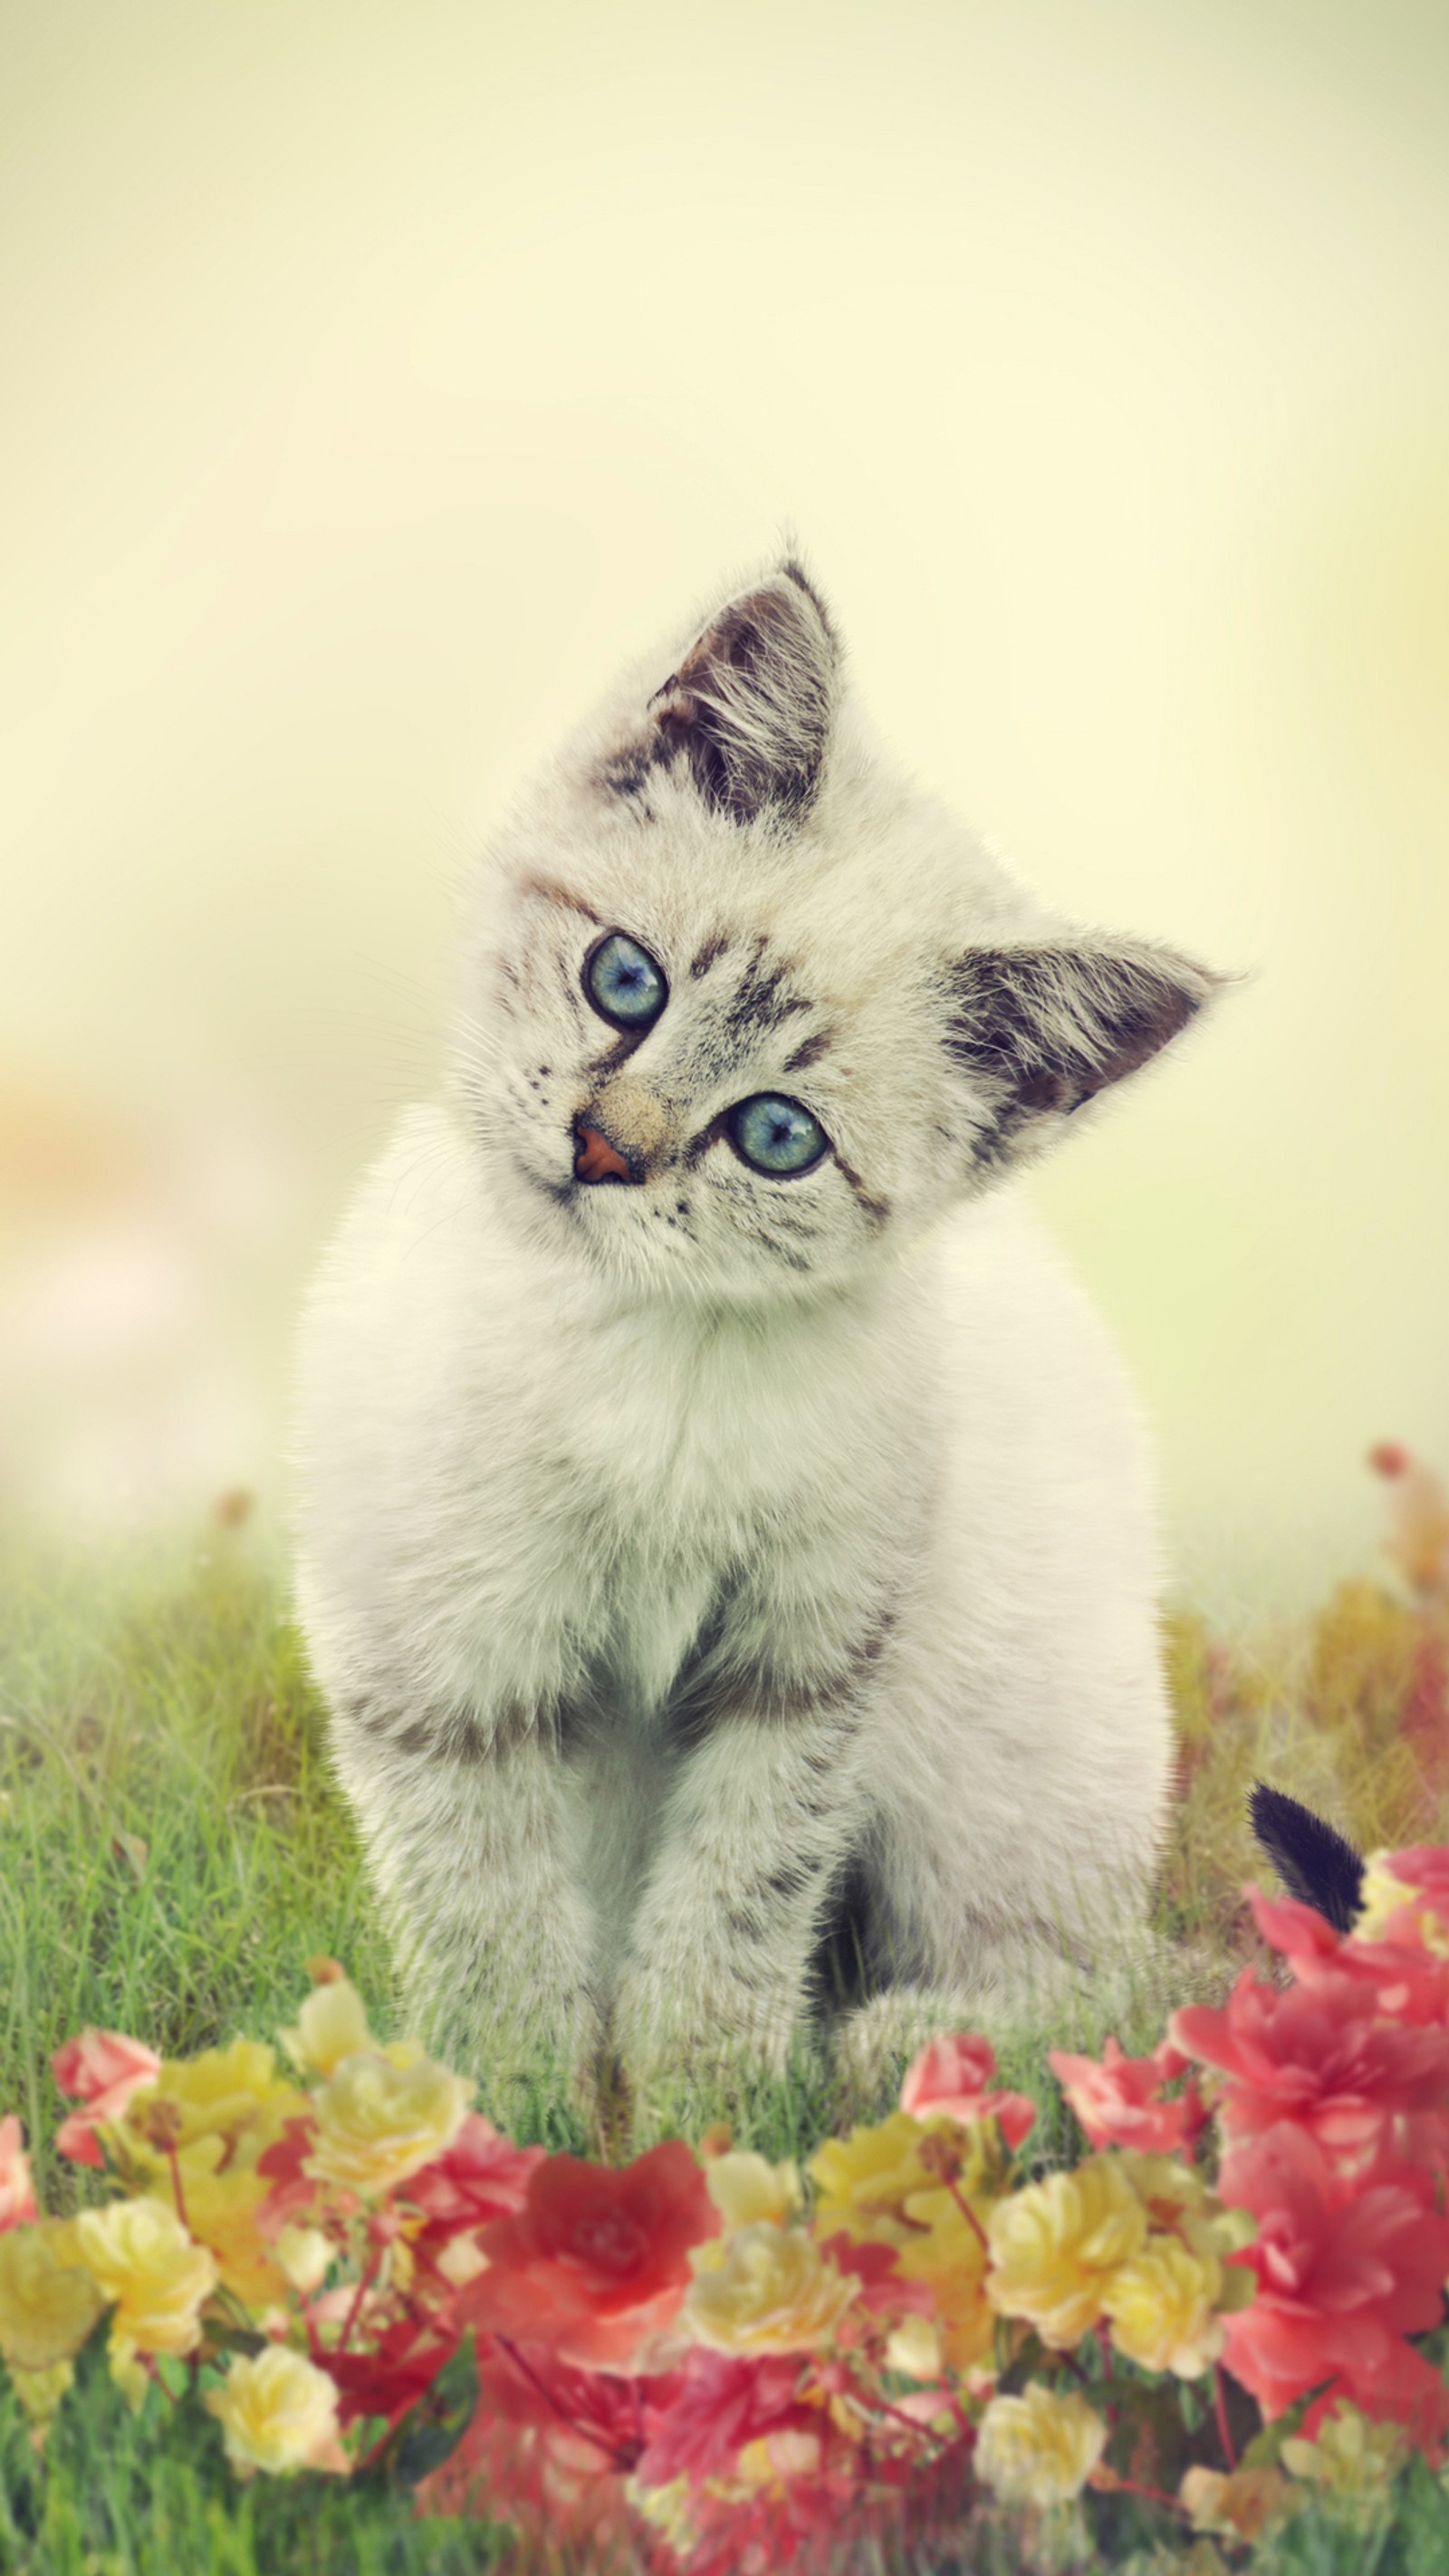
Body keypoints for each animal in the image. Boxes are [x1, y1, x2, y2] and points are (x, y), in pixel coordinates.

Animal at [294, 559, 1224, 2091]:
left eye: (777, 1136)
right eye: (625, 981)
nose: (604, 1148)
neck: (642, 1346)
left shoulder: (815, 1656)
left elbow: (741, 1886)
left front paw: (706, 2092)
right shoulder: (436, 1641)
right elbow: (486, 1904)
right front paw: (512, 2101)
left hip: (1013, 1762)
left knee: (1117, 1981)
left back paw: (912, 2044)